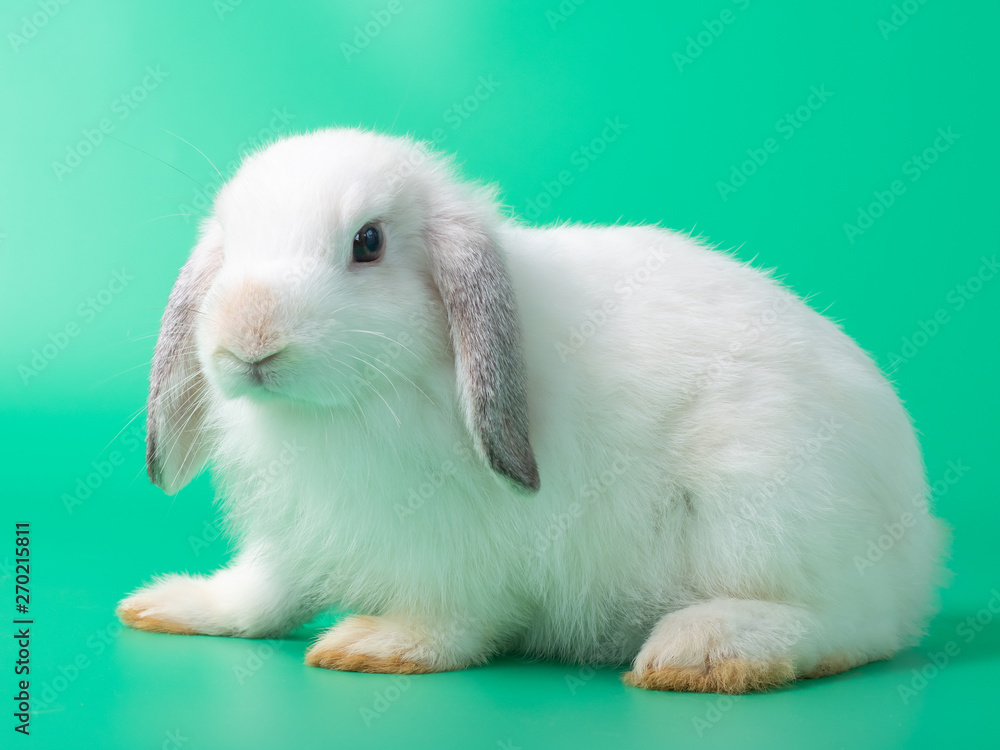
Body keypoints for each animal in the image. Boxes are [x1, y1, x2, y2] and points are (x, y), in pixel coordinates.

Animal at [117, 127, 946, 693]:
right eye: (230, 248)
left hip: (760, 513)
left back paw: (702, 651)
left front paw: (377, 646)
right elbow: (260, 599)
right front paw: (167, 605)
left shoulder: (460, 561)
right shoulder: (291, 541)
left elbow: (453, 623)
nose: (247, 340)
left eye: (368, 242)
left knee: (845, 625)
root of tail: (917, 541)